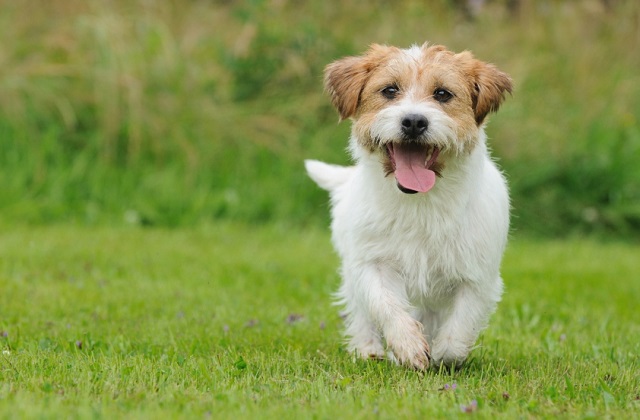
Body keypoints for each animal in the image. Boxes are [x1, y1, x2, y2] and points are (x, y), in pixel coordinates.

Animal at [304, 42, 510, 370]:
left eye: (442, 94)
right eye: (389, 90)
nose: (414, 121)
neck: (419, 203)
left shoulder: (478, 276)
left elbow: (459, 328)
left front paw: (441, 354)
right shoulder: (371, 263)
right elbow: (385, 304)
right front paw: (407, 344)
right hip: (352, 270)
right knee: (361, 312)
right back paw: (369, 349)